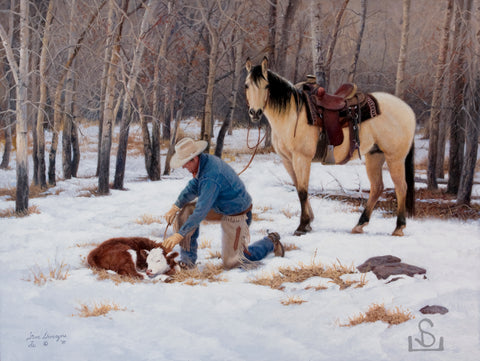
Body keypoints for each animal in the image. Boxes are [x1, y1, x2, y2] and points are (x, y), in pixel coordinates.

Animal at [246, 56, 414, 236]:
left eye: (266, 86)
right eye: (247, 85)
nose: (255, 113)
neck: (291, 115)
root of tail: (408, 110)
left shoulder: (301, 158)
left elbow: (303, 191)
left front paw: (302, 225)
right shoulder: (287, 160)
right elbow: (298, 187)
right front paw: (309, 222)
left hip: (395, 158)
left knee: (401, 187)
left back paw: (399, 227)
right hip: (375, 155)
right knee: (377, 187)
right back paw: (360, 224)